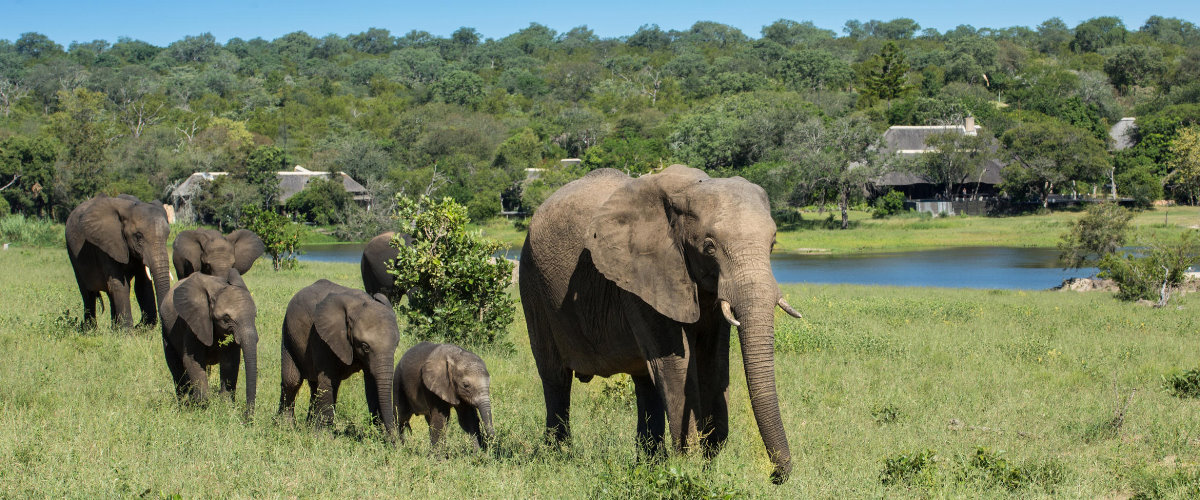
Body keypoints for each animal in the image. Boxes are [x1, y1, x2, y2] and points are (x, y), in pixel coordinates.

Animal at [65, 194, 173, 328]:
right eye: (138, 236)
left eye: (167, 235)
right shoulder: (106, 244)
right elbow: (120, 285)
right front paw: (128, 330)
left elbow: (142, 284)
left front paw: (139, 328)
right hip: (73, 254)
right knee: (87, 293)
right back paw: (89, 329)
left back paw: (114, 329)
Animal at [159, 269, 258, 420]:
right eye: (226, 318)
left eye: (255, 316)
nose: (247, 418)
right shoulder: (193, 322)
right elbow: (191, 360)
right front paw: (202, 409)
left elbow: (230, 362)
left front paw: (226, 408)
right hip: (166, 329)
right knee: (175, 366)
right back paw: (184, 405)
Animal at [279, 279, 400, 438]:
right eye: (365, 346)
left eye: (396, 344)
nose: (396, 440)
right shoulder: (321, 338)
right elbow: (328, 380)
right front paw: (323, 437)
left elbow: (372, 383)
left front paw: (378, 434)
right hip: (288, 334)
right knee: (292, 381)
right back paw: (286, 428)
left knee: (314, 386)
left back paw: (308, 428)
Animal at [518, 165, 803, 484]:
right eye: (709, 247)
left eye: (773, 244)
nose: (775, 476)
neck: (690, 189)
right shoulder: (644, 274)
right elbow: (676, 364)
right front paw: (690, 467)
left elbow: (713, 362)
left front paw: (708, 466)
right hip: (532, 281)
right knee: (555, 376)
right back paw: (559, 457)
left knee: (645, 381)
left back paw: (649, 464)